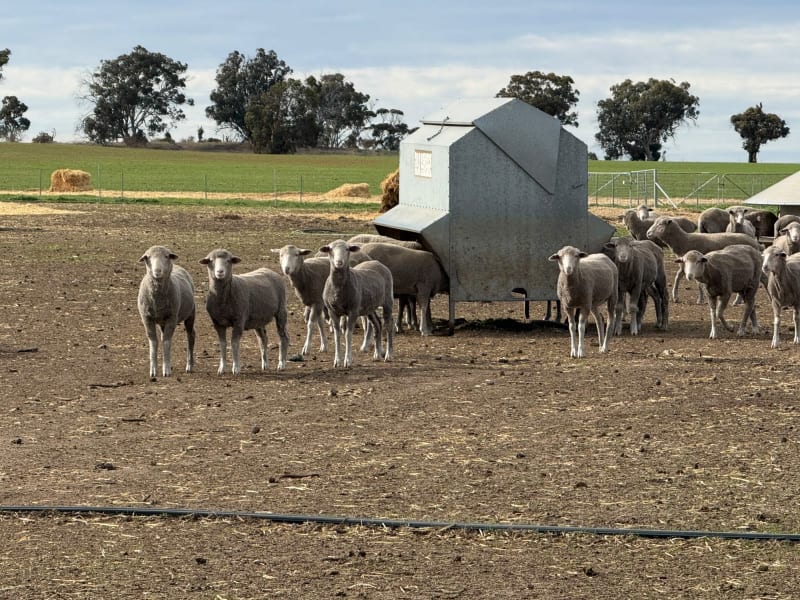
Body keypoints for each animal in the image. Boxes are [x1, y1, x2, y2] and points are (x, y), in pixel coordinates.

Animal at [137, 245, 196, 378]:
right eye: (148, 257)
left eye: (166, 256)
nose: (157, 271)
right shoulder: (146, 318)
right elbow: (154, 342)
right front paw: (153, 370)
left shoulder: (172, 318)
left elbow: (167, 342)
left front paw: (166, 369)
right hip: (162, 321)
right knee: (163, 336)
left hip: (190, 313)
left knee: (191, 335)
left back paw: (189, 366)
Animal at [319, 239, 394, 368]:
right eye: (330, 249)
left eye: (347, 249)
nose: (339, 262)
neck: (338, 290)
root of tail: (378, 263)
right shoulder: (332, 311)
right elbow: (337, 335)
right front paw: (337, 361)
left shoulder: (353, 311)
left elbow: (348, 334)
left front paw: (347, 361)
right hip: (369, 306)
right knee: (377, 324)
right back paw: (377, 355)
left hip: (388, 301)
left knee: (388, 325)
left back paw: (388, 355)